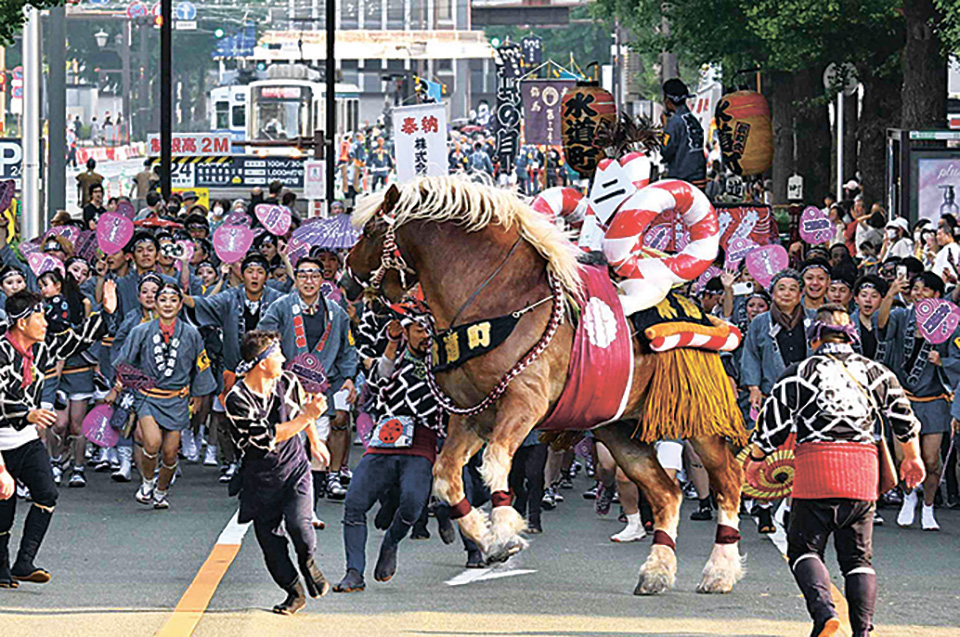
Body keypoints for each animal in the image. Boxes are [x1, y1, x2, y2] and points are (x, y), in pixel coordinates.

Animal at [344, 176, 752, 592]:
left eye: (371, 230)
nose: (346, 280)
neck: (497, 301)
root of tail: (693, 307)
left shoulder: (525, 401)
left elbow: (495, 461)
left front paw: (505, 534)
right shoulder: (473, 413)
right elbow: (446, 476)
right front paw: (485, 536)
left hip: (698, 419)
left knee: (728, 483)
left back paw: (720, 570)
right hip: (619, 429)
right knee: (667, 494)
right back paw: (657, 571)